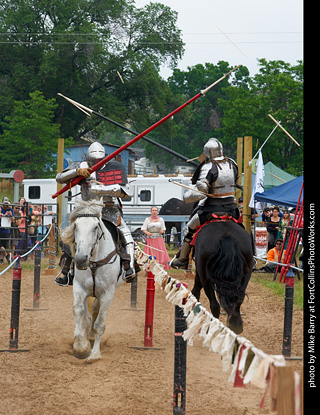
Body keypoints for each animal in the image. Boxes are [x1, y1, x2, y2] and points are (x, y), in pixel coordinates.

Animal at [61, 200, 124, 362]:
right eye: (76, 226)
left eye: (96, 227)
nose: (80, 259)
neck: (94, 261)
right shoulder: (79, 288)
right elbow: (79, 312)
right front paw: (80, 347)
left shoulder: (108, 294)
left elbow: (99, 325)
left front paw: (95, 354)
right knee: (88, 314)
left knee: (95, 311)